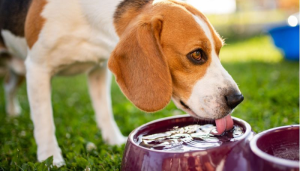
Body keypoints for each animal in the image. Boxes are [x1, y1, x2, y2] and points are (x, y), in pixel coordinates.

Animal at [0, 0, 244, 166]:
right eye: (196, 54)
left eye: (219, 50)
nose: (237, 99)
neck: (86, 18)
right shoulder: (38, 67)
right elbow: (44, 121)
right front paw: (51, 159)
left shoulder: (98, 69)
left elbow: (104, 111)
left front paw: (114, 140)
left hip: (18, 70)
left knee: (10, 88)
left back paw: (12, 113)